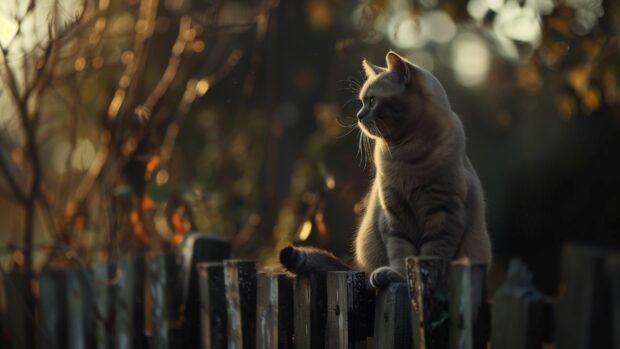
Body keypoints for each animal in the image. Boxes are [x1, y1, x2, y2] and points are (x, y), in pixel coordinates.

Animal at [278, 50, 492, 286]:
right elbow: (401, 252)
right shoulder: (394, 212)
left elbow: (431, 253)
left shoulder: (445, 211)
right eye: (362, 102)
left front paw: (420, 280)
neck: (407, 152)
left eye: (372, 101)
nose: (359, 115)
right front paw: (398, 275)